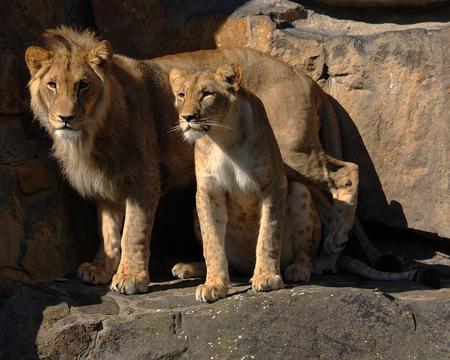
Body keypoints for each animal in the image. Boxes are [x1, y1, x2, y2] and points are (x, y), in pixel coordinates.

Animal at [25, 26, 394, 296]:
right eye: (52, 85)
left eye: (83, 85)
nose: (65, 118)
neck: (91, 135)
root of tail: (306, 78)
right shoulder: (106, 182)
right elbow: (108, 230)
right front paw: (102, 268)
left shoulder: (144, 177)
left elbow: (132, 231)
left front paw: (130, 277)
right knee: (325, 201)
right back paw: (327, 257)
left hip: (293, 152)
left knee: (347, 172)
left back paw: (330, 249)